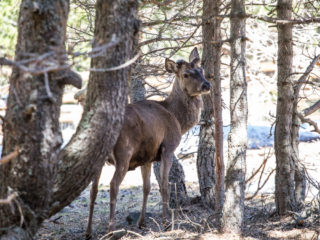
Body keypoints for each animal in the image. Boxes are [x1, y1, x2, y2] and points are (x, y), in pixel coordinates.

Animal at [85, 47, 211, 238]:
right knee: (113, 185)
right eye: (186, 74)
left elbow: (147, 187)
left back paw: (88, 231)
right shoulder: (168, 147)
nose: (206, 85)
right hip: (124, 152)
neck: (178, 120)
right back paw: (110, 231)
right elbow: (165, 185)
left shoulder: (147, 157)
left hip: (100, 156)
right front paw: (166, 223)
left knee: (94, 189)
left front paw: (141, 222)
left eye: (201, 70)